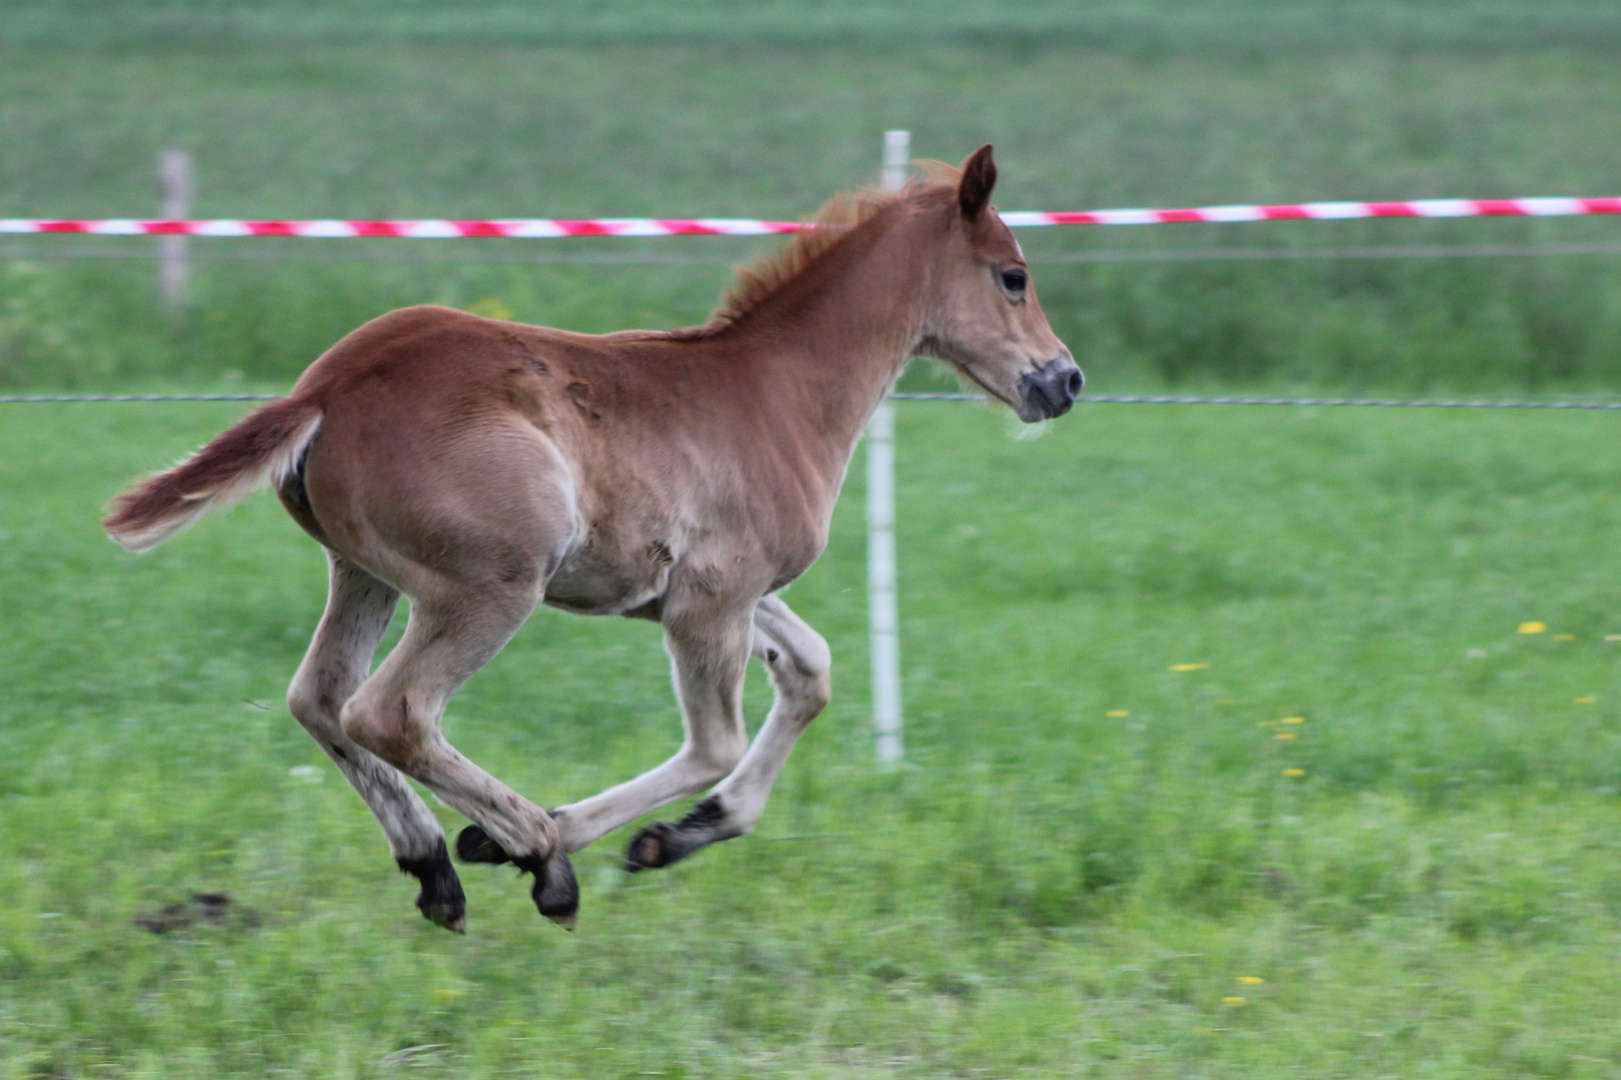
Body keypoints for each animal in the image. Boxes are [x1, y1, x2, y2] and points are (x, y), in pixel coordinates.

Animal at [107, 147, 1082, 927]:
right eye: (1012, 275)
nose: (1064, 381)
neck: (777, 389)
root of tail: (326, 389)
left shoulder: (722, 595)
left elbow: (811, 672)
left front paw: (687, 832)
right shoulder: (710, 602)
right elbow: (716, 741)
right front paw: (561, 840)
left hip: (362, 573)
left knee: (319, 699)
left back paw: (432, 867)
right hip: (491, 586)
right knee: (388, 710)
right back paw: (536, 852)